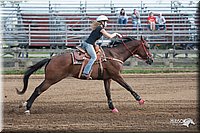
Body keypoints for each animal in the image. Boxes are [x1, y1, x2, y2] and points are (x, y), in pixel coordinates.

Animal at [16, 35, 153, 114]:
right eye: (147, 46)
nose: (151, 59)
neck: (114, 55)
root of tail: (51, 59)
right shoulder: (116, 75)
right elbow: (128, 86)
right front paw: (140, 100)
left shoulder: (107, 78)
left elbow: (108, 93)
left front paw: (112, 108)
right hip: (51, 80)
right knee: (38, 89)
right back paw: (27, 108)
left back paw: (24, 105)